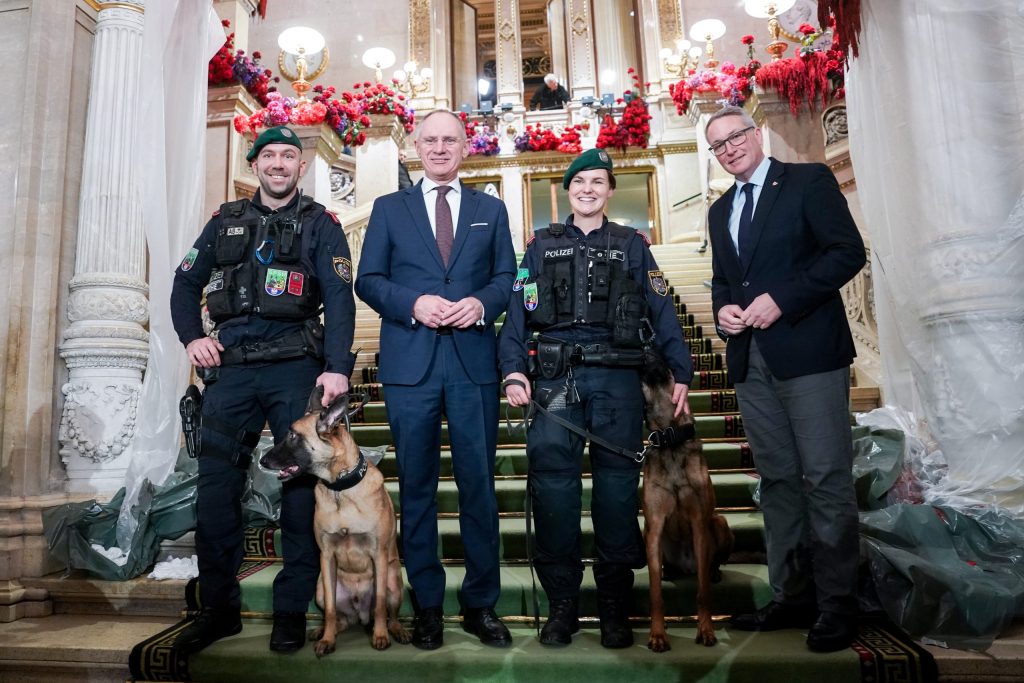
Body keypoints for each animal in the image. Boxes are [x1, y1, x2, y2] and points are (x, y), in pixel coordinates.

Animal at [259, 389, 410, 655]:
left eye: (293, 435)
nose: (261, 460)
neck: (341, 488)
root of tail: (359, 616)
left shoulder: (379, 555)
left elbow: (380, 604)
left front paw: (380, 636)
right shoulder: (327, 556)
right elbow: (330, 610)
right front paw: (328, 639)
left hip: (393, 579)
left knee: (388, 613)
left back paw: (395, 630)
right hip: (321, 586)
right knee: (339, 618)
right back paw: (321, 631)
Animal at [639, 349, 734, 651]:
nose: (648, 349)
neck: (669, 438)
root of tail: (685, 566)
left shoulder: (699, 524)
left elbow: (703, 592)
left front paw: (706, 631)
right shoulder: (654, 526)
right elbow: (656, 594)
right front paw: (658, 635)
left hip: (719, 523)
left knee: (710, 565)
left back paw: (715, 572)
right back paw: (668, 571)